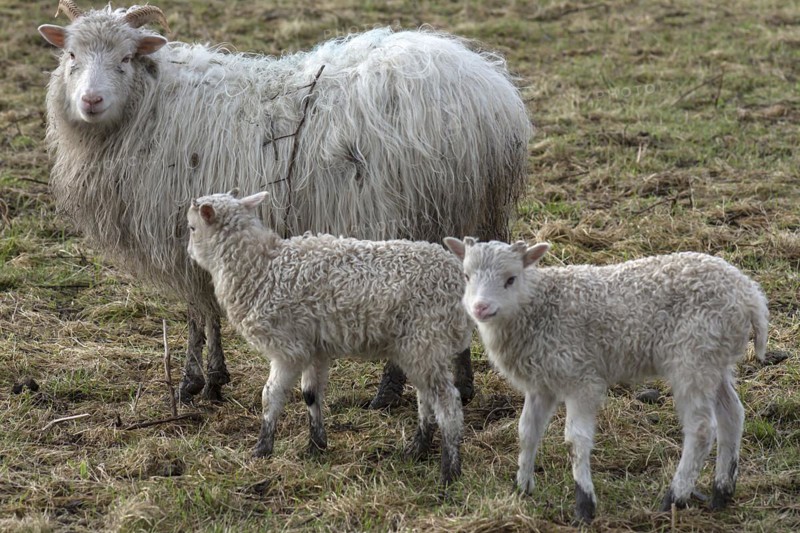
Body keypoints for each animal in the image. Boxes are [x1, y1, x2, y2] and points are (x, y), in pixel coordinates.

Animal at [37, 1, 532, 407]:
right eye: (71, 56)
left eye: (125, 58)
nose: (91, 100)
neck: (151, 104)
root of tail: (493, 95)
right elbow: (207, 310)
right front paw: (213, 379)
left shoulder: (183, 232)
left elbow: (198, 312)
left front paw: (195, 382)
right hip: (465, 211)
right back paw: (462, 387)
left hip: (414, 211)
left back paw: (388, 392)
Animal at [185, 191, 471, 486]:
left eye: (192, 228)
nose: (188, 253)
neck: (261, 267)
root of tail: (458, 278)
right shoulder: (314, 348)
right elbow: (310, 394)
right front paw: (316, 445)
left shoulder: (288, 348)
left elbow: (270, 395)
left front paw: (262, 449)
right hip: (418, 348)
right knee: (426, 398)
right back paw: (417, 449)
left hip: (426, 339)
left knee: (448, 402)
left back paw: (449, 471)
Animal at [443, 237, 769, 523]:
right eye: (466, 276)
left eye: (510, 279)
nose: (480, 308)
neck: (538, 308)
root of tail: (751, 295)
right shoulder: (541, 384)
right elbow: (527, 432)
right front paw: (522, 487)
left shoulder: (582, 379)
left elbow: (576, 441)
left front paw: (584, 504)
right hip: (715, 360)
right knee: (732, 415)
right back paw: (722, 492)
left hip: (693, 358)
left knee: (701, 429)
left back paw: (674, 497)